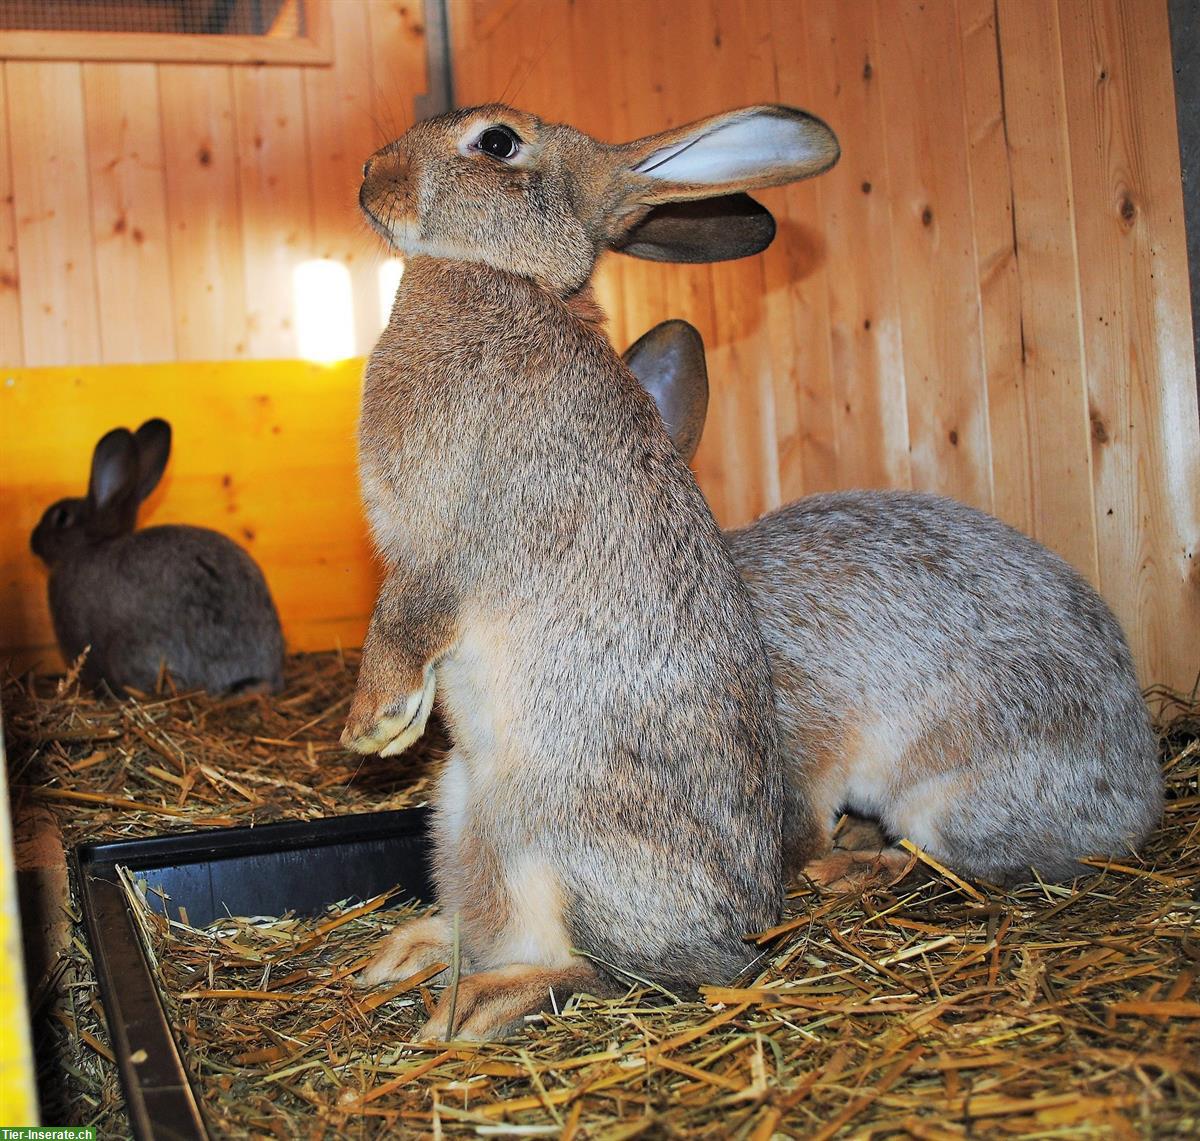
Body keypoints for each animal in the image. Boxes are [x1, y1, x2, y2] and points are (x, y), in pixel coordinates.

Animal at [343, 102, 840, 1041]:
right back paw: (405, 954)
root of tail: (747, 938)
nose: (367, 177)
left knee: (604, 972)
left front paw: (373, 725)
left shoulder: (440, 537)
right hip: (462, 812)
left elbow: (405, 616)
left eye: (497, 142)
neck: (507, 275)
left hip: (561, 837)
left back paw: (469, 1009)